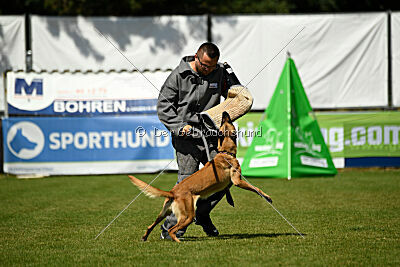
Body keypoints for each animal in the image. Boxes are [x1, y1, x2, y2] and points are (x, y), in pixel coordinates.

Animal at [130, 111, 274, 243]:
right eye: (226, 121)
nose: (224, 112)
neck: (225, 152)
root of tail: (173, 192)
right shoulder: (237, 181)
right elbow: (255, 188)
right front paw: (267, 197)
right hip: (188, 215)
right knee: (172, 229)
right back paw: (178, 241)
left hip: (164, 213)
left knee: (151, 225)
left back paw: (145, 237)